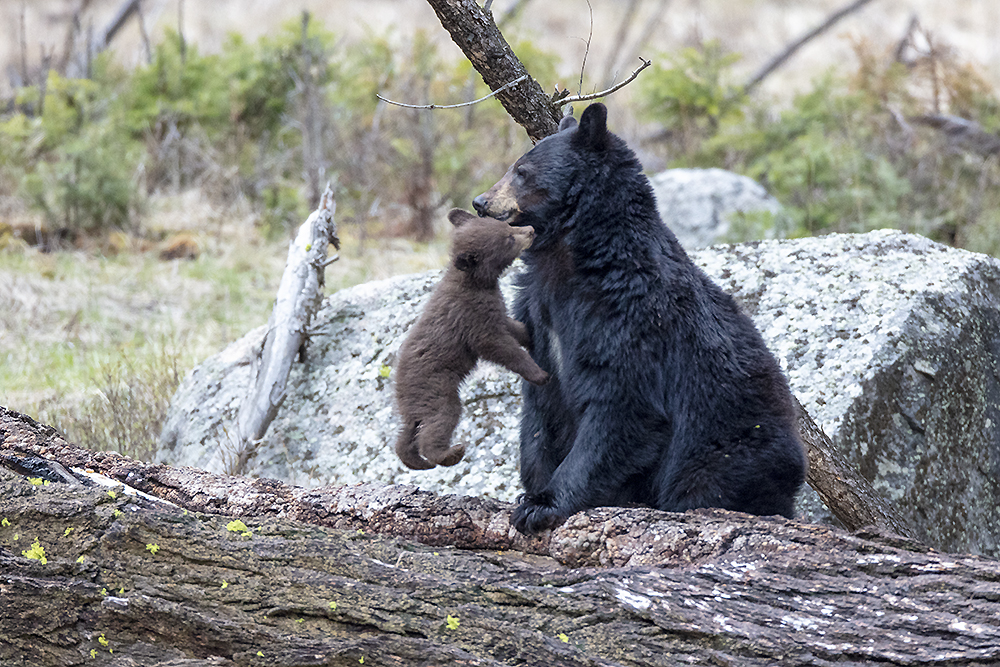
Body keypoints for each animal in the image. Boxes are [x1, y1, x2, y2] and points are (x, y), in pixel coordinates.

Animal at [393, 208, 550, 470]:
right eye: (508, 239)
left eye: (506, 226)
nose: (530, 230)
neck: (474, 284)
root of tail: (400, 389)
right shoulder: (472, 318)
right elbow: (498, 346)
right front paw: (539, 374)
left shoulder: (493, 310)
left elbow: (511, 326)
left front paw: (530, 334)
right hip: (436, 388)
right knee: (439, 421)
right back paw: (448, 454)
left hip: (417, 405)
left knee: (407, 433)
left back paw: (416, 461)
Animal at [472, 102, 807, 535]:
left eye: (522, 171)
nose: (481, 201)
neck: (569, 258)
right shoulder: (537, 314)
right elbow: (540, 405)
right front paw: (528, 490)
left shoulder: (630, 315)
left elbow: (621, 405)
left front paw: (542, 505)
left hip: (730, 444)